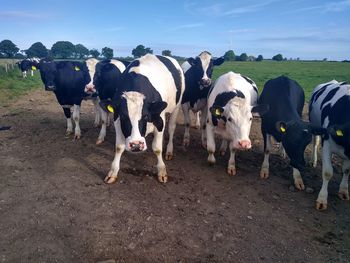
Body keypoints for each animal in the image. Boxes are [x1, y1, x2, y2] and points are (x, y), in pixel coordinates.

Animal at [100, 54, 185, 186]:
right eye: (124, 116)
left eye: (145, 116)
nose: (136, 145)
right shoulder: (117, 119)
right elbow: (119, 147)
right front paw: (113, 172)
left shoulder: (159, 119)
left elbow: (157, 148)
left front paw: (162, 171)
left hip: (176, 106)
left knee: (171, 128)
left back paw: (169, 151)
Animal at [308, 80, 350, 210]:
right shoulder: (326, 143)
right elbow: (327, 172)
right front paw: (322, 199)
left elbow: (346, 170)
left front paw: (344, 191)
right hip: (315, 125)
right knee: (315, 142)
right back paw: (313, 161)